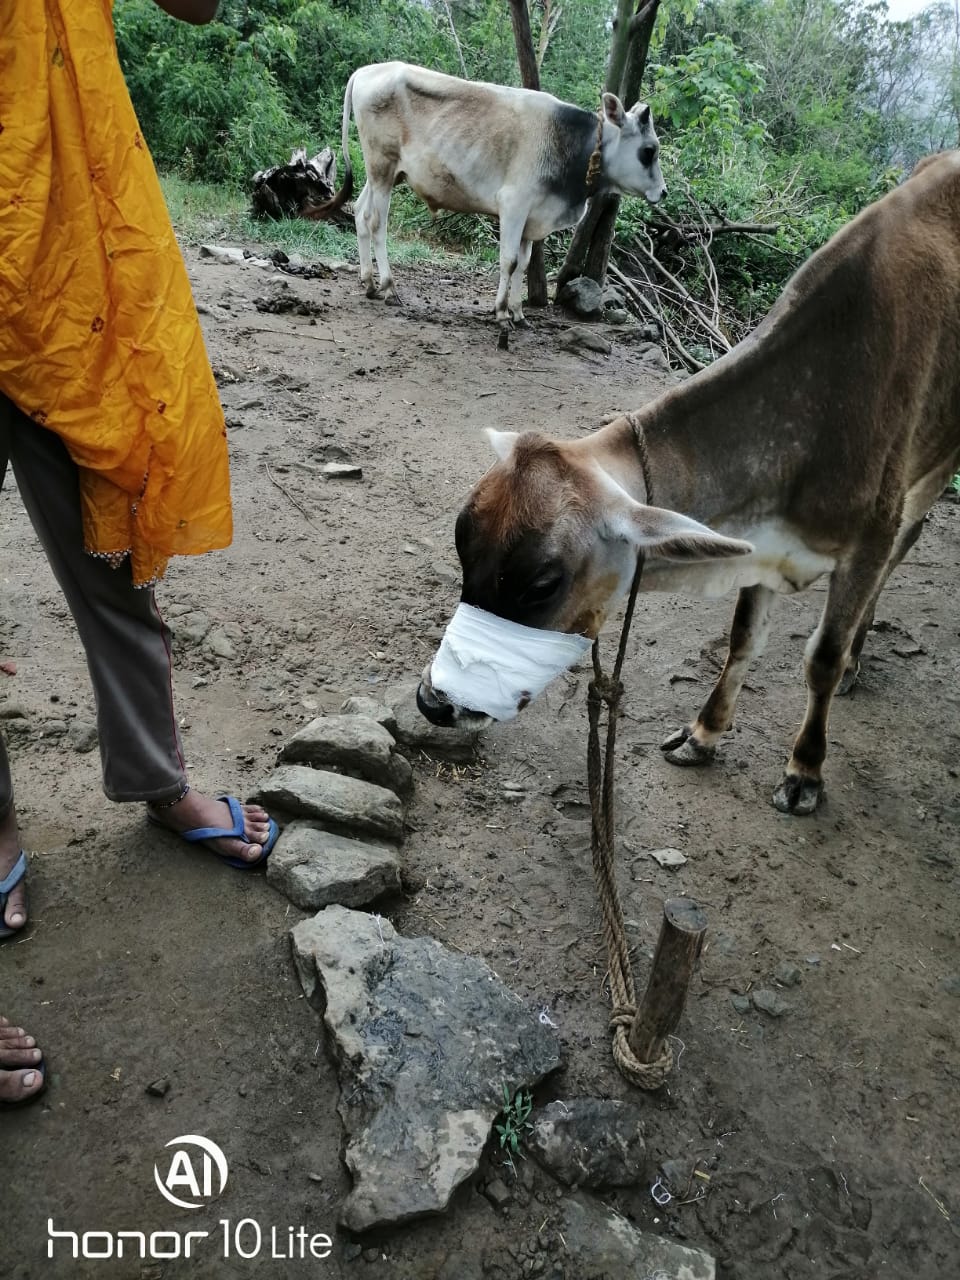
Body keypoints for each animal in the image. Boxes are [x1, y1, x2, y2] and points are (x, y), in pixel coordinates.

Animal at [417, 149, 960, 808]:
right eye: (461, 546)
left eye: (543, 583)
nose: (434, 702)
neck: (814, 406)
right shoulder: (764, 540)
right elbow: (742, 638)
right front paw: (703, 733)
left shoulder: (867, 538)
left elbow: (822, 658)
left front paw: (805, 769)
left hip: (936, 464)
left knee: (906, 544)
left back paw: (858, 658)